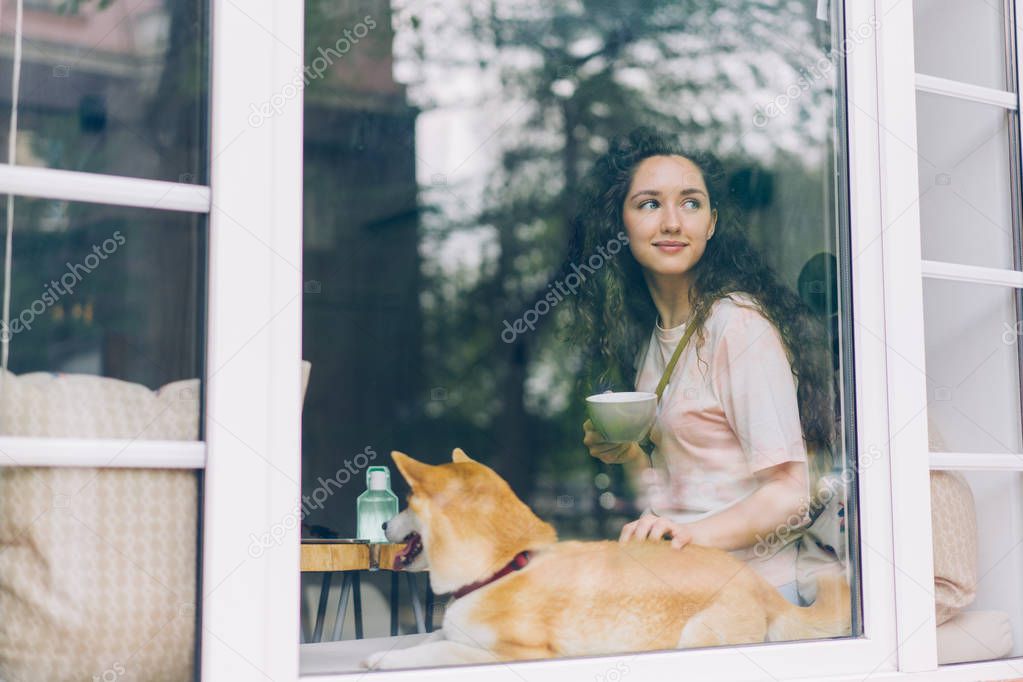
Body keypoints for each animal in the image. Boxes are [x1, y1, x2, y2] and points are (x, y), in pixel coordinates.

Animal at [364, 449, 851, 670]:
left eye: (407, 502)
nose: (383, 525)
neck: (501, 569)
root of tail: (760, 587)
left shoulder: (514, 654)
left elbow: (437, 650)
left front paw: (383, 663)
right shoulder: (456, 632)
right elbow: (424, 640)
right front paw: (387, 651)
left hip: (694, 638)